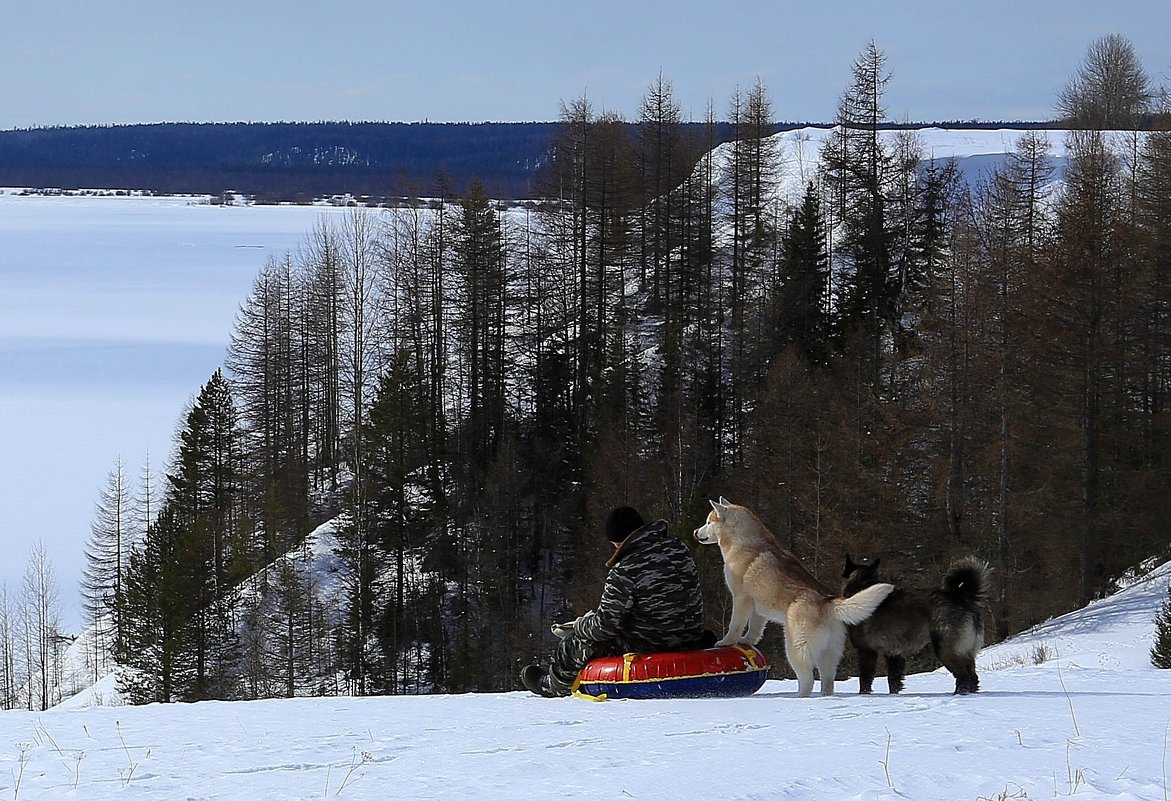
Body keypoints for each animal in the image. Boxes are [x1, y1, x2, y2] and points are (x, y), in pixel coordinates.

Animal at [688, 501, 889, 693]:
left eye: (708, 522)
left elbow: (735, 626)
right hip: (829, 656)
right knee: (827, 683)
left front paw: (726, 642)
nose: (695, 532)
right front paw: (747, 641)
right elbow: (755, 628)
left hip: (795, 649)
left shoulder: (741, 598)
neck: (743, 542)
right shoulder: (759, 607)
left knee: (807, 680)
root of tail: (829, 603)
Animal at [843, 557, 988, 693]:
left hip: (946, 649)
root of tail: (961, 598)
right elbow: (894, 680)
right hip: (967, 651)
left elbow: (865, 679)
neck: (862, 586)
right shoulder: (894, 654)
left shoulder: (866, 651)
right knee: (973, 677)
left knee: (963, 677)